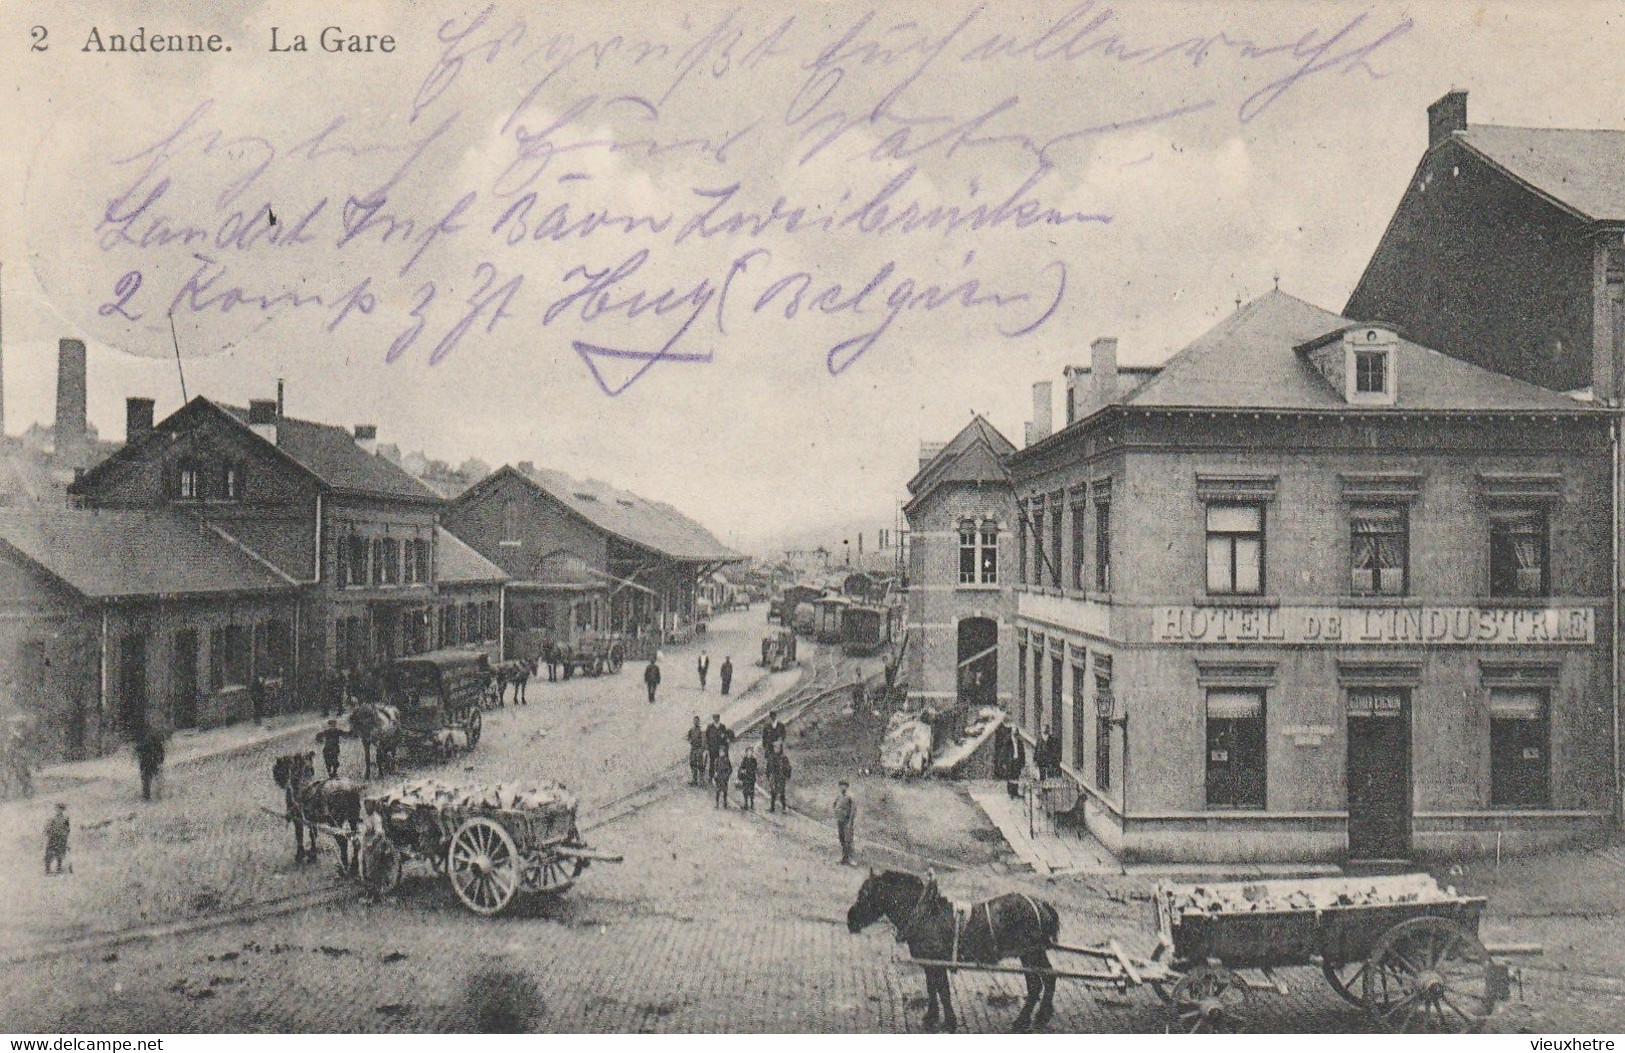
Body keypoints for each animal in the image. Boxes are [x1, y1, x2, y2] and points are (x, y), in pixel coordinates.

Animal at [845, 871, 1059, 1033]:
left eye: (865, 894)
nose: (850, 921)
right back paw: (1042, 1015)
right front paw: (931, 1017)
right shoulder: (929, 963)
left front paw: (949, 1021)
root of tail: (1041, 904)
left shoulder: (937, 962)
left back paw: (1023, 1021)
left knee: (1036, 984)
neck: (925, 915)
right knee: (1049, 977)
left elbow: (943, 990)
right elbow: (932, 988)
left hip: (1029, 954)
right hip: (1035, 953)